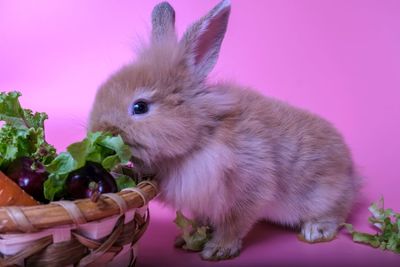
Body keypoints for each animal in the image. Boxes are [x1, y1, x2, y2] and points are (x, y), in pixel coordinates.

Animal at [88, 0, 362, 260]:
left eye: (140, 107)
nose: (97, 129)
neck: (200, 135)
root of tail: (352, 176)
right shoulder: (202, 202)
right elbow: (201, 219)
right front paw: (187, 238)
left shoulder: (248, 191)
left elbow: (234, 224)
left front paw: (219, 249)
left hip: (322, 195)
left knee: (337, 213)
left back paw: (316, 230)